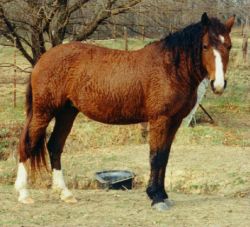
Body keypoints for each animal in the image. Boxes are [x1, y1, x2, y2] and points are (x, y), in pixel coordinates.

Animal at [15, 12, 234, 211]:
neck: (170, 68)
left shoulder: (174, 121)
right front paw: (156, 197)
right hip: (44, 111)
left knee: (54, 146)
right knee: (28, 144)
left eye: (229, 46)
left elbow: (164, 156)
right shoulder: (160, 120)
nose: (218, 84)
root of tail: (43, 59)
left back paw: (65, 193)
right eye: (205, 46)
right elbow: (156, 156)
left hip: (66, 113)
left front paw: (163, 195)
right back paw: (24, 194)